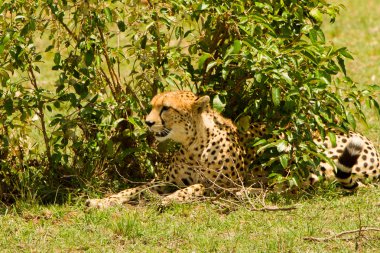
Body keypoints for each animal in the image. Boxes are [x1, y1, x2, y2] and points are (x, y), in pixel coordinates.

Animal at [86, 91, 380, 208]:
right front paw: (101, 201)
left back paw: (246, 192)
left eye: (165, 108)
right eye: (152, 105)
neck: (193, 144)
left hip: (313, 158)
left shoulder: (220, 185)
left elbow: (196, 187)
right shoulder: (165, 179)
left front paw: (170, 199)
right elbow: (133, 189)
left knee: (299, 187)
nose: (147, 122)